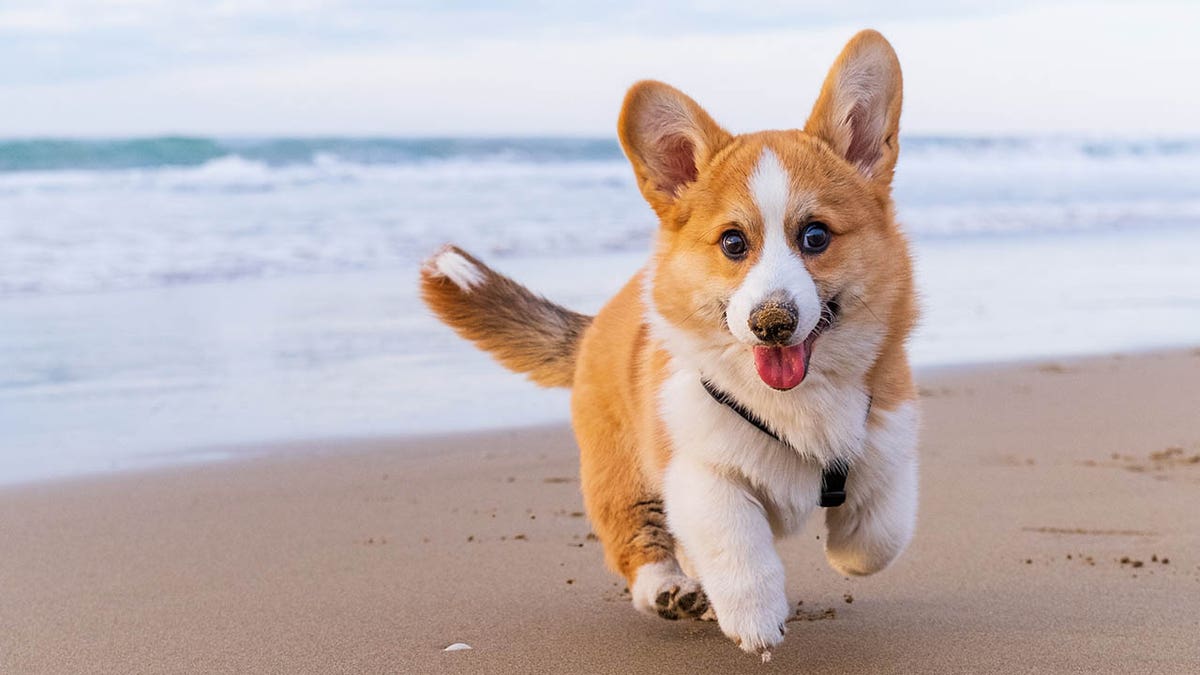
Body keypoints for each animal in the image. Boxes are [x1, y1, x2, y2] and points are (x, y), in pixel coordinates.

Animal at [420, 28, 916, 653]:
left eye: (816, 236)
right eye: (733, 243)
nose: (772, 323)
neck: (792, 402)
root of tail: (596, 323)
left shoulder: (888, 435)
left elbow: (879, 533)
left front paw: (848, 551)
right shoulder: (699, 470)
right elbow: (736, 546)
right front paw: (755, 621)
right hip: (621, 471)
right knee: (640, 541)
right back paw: (670, 590)